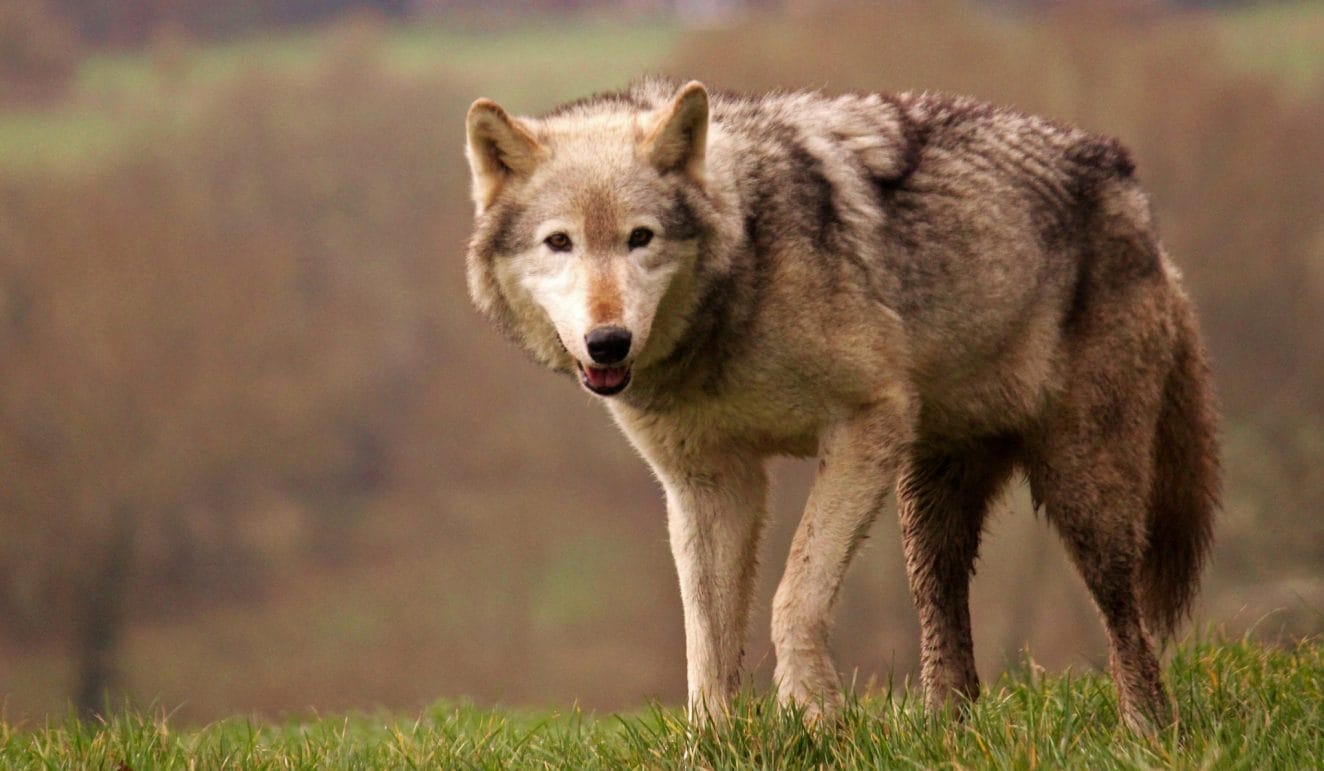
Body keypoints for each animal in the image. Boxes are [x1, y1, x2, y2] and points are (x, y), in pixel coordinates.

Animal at [462, 78, 1219, 731]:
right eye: (560, 242)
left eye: (639, 237)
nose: (609, 342)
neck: (745, 270)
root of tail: (1134, 193)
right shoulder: (709, 481)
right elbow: (706, 639)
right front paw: (711, 743)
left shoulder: (865, 424)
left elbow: (793, 597)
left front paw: (815, 719)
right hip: (928, 513)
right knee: (948, 625)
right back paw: (946, 732)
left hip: (1082, 495)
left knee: (1127, 622)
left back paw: (1148, 733)